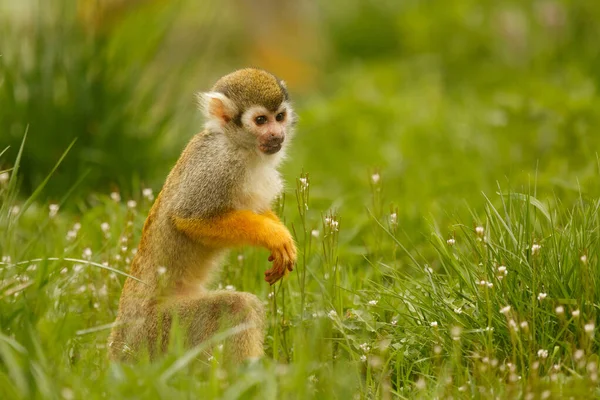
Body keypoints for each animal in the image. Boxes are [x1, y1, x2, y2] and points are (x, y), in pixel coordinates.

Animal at [108, 68, 298, 362]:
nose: (277, 134)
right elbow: (190, 219)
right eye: (260, 120)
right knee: (237, 306)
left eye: (279, 117)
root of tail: (120, 344)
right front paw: (273, 235)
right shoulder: (217, 166)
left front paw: (280, 234)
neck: (237, 146)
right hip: (159, 332)